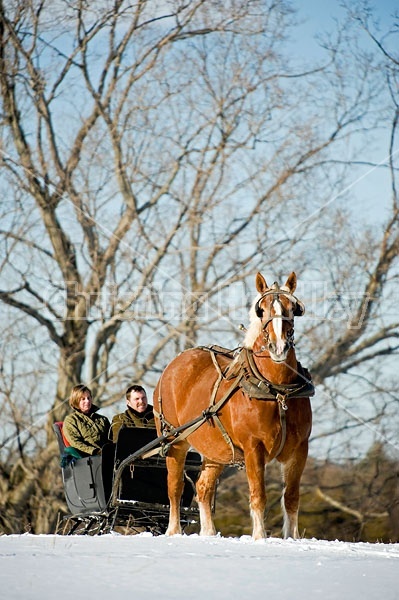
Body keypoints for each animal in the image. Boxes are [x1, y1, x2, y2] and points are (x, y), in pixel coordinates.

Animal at [155, 272, 314, 540]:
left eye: (293, 308)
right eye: (262, 310)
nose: (279, 347)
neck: (276, 390)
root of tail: (175, 363)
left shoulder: (300, 448)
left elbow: (291, 498)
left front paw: (292, 538)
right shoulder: (253, 447)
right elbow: (258, 495)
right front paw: (260, 537)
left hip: (215, 450)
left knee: (203, 487)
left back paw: (209, 533)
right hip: (175, 441)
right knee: (174, 488)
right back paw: (174, 531)